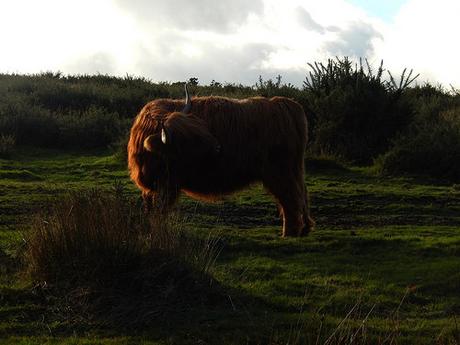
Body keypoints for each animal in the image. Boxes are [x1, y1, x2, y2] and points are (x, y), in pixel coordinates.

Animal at [127, 85, 314, 236]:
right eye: (190, 140)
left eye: (201, 127)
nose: (218, 147)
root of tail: (285, 104)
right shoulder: (152, 186)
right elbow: (151, 208)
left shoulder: (168, 185)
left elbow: (160, 210)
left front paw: (159, 230)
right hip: (294, 167)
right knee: (301, 192)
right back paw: (305, 228)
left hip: (279, 170)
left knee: (290, 197)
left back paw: (289, 233)